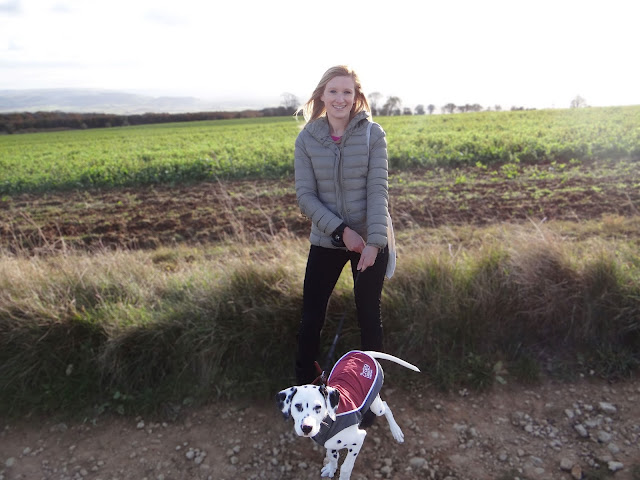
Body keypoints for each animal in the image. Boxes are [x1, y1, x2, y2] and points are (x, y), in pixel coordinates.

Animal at [276, 350, 420, 478]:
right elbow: (332, 457)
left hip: (376, 406)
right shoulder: (330, 443)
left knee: (386, 407)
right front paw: (331, 468)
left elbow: (346, 468)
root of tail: (364, 353)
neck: (329, 421)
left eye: (318, 407)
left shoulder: (358, 440)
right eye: (297, 406)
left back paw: (396, 431)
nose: (306, 428)